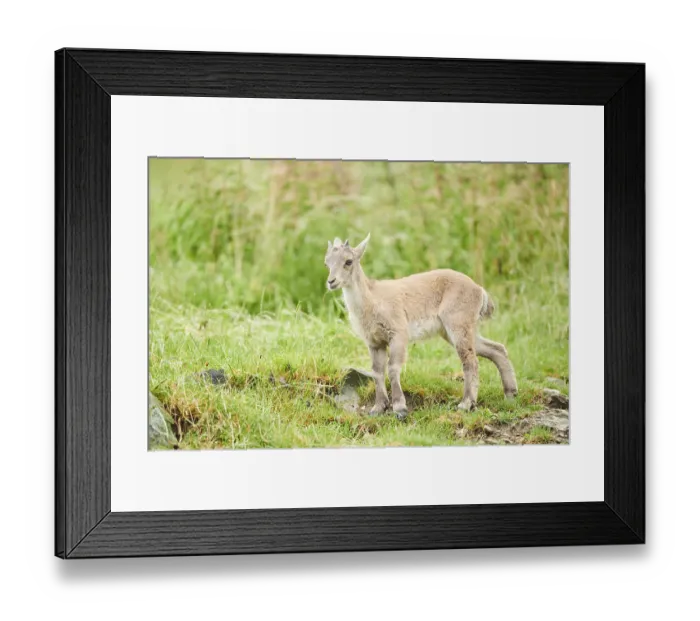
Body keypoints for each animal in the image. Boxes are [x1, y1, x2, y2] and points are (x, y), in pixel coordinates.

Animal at [325, 234, 518, 420]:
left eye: (348, 261)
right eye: (327, 262)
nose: (331, 281)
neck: (371, 301)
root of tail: (479, 290)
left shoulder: (398, 334)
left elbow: (393, 367)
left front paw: (400, 409)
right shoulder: (374, 342)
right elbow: (377, 371)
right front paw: (378, 408)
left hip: (458, 324)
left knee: (470, 360)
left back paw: (466, 404)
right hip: (453, 330)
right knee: (497, 349)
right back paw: (510, 394)